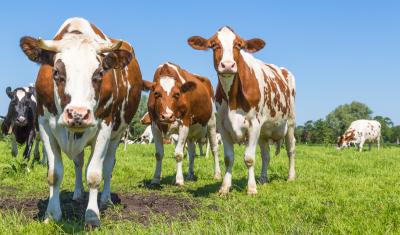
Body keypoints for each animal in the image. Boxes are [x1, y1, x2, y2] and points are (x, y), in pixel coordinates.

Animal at [19, 17, 144, 228]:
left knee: (108, 165)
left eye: (99, 73)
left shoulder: (104, 127)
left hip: (117, 134)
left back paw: (105, 199)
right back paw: (77, 193)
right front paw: (51, 214)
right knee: (78, 163)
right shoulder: (45, 126)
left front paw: (92, 216)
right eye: (56, 72)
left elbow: (94, 174)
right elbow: (54, 174)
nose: (78, 114)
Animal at [188, 26, 296, 195]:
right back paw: (263, 179)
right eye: (214, 44)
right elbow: (228, 158)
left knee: (291, 149)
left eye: (238, 45)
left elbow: (249, 158)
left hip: (290, 122)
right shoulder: (223, 126)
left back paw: (291, 177)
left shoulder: (254, 125)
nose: (227, 65)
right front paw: (225, 187)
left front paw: (251, 188)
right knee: (266, 155)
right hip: (264, 131)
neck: (233, 98)